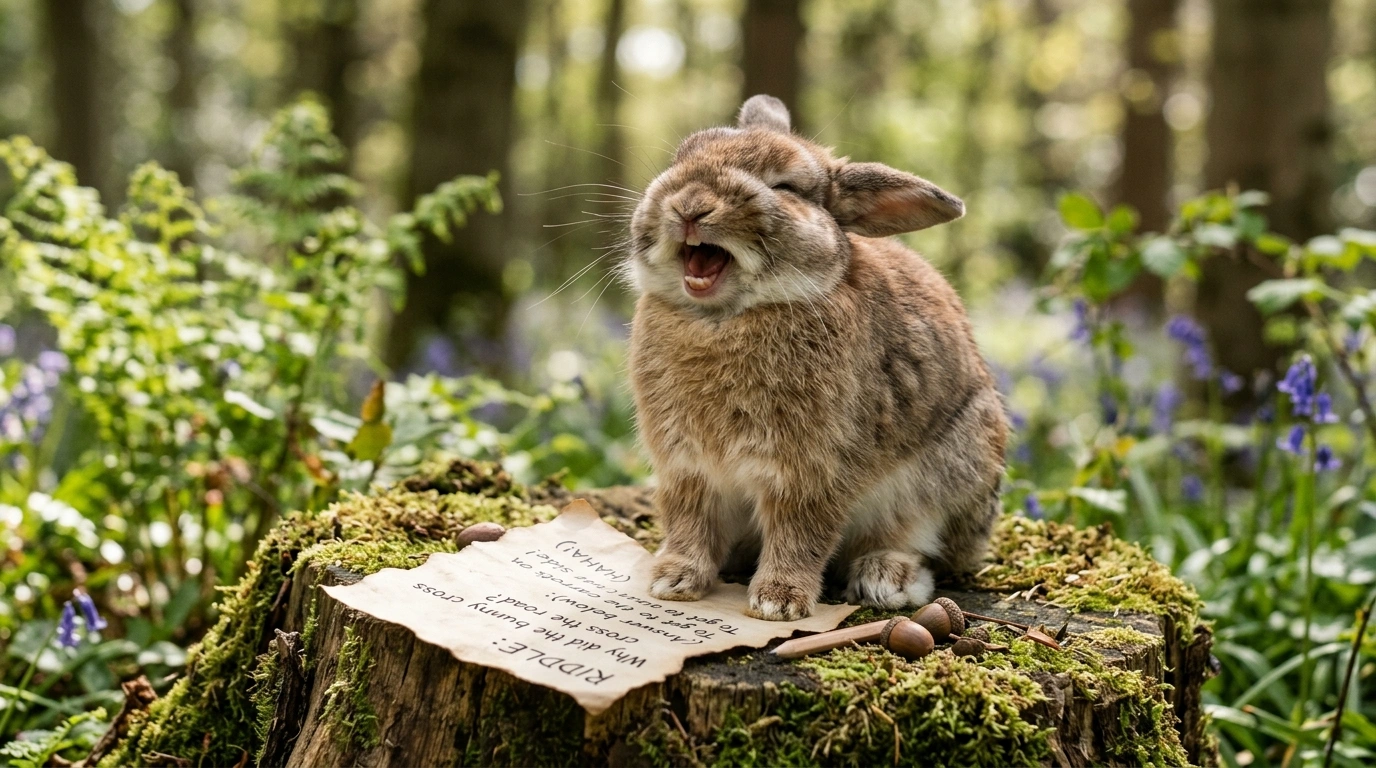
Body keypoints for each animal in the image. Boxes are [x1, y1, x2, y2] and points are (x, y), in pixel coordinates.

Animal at [625, 95, 1007, 621]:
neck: (723, 317)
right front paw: (674, 580)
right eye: (681, 157)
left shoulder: (812, 470)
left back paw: (886, 579)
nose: (690, 206)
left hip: (952, 472)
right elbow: (690, 521)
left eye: (784, 187)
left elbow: (801, 531)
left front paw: (778, 602)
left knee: (918, 541)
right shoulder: (687, 468)